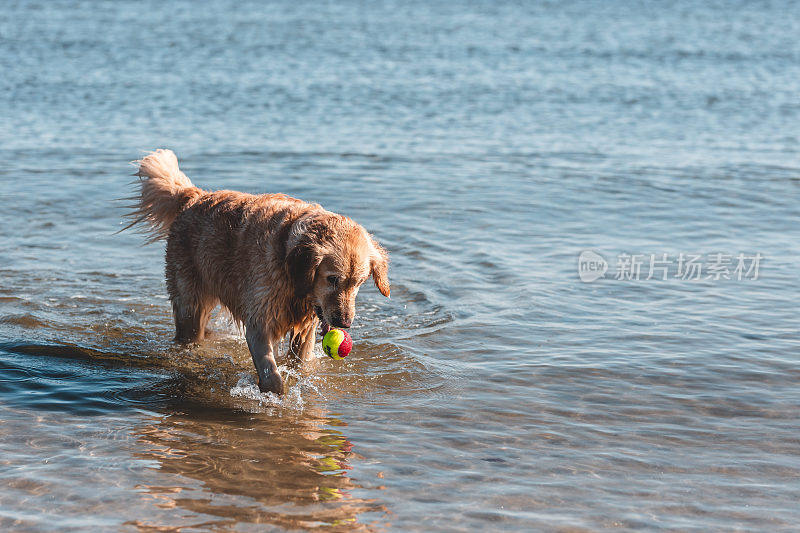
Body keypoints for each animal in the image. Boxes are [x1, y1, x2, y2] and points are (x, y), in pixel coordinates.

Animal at [122, 148, 390, 392]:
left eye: (358, 283)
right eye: (332, 279)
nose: (344, 323)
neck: (290, 268)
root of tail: (195, 196)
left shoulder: (305, 328)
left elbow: (300, 362)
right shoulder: (260, 321)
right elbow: (271, 372)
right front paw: (276, 397)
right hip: (190, 304)